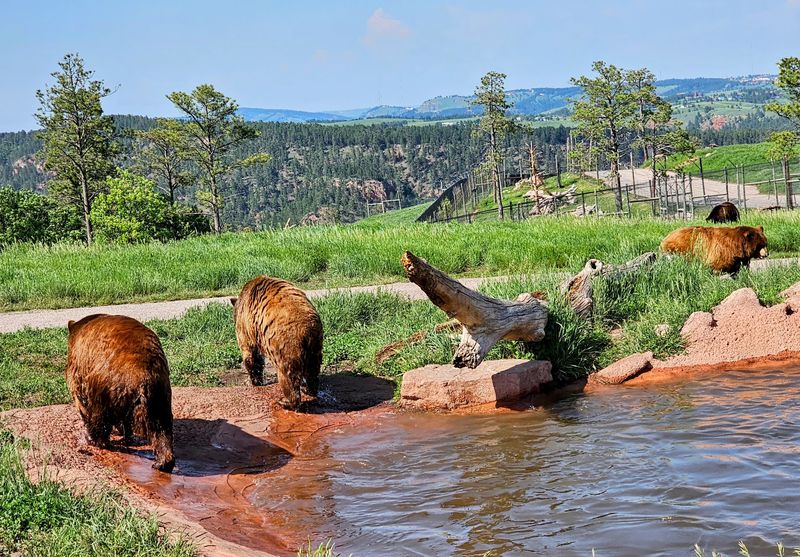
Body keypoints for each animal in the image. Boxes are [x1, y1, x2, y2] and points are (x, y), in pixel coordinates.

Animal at [65, 314, 175, 472]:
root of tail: (143, 374)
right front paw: (124, 432)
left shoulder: (79, 365)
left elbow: (79, 395)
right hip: (159, 391)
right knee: (162, 426)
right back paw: (163, 462)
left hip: (105, 384)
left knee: (100, 415)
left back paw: (95, 439)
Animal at [231, 276, 323, 411]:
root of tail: (306, 329)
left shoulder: (247, 328)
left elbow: (251, 355)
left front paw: (255, 381)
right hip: (315, 344)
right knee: (313, 369)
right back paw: (308, 389)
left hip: (286, 344)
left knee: (288, 375)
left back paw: (285, 401)